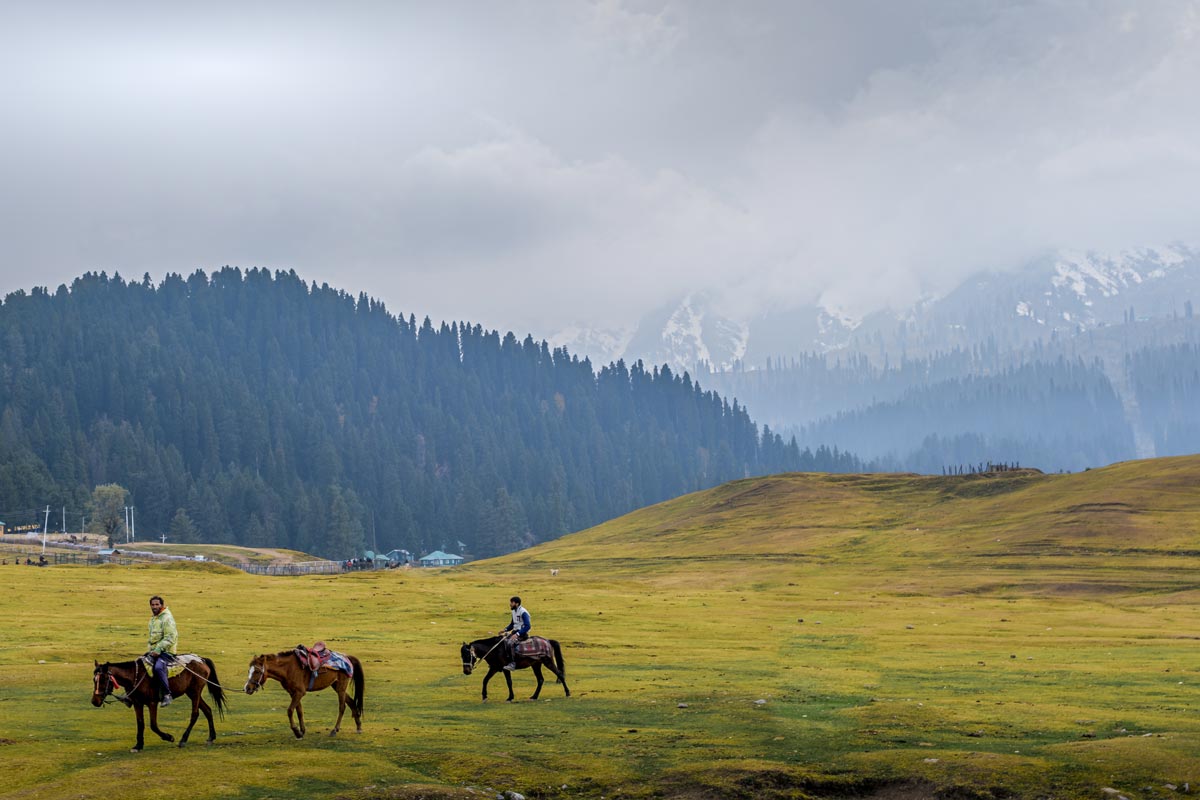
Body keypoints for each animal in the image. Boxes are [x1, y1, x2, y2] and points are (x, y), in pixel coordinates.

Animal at [91, 657, 229, 753]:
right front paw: (138, 745)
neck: (135, 675)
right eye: (94, 680)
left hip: (195, 692)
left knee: (195, 714)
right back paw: (211, 737)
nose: (94, 701)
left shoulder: (152, 703)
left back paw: (183, 740)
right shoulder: (137, 703)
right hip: (191, 692)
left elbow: (153, 725)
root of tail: (201, 659)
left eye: (103, 679)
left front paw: (169, 737)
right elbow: (140, 724)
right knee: (207, 710)